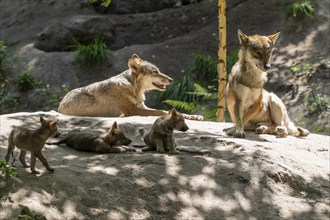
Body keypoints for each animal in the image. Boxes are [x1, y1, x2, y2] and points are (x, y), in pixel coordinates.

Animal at [59, 53, 202, 120]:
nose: (171, 79)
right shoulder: (131, 111)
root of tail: (60, 106)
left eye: (158, 70)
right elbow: (161, 111)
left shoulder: (142, 106)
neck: (134, 89)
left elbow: (174, 111)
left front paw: (194, 116)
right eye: (155, 72)